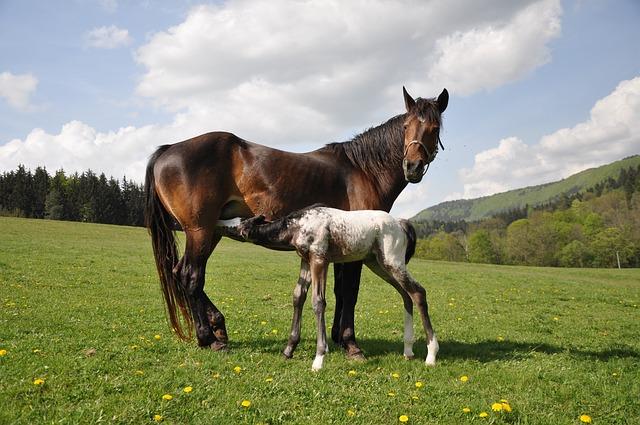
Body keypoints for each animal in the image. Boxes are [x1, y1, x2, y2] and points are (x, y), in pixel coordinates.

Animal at [222, 204, 438, 370]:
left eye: (237, 224)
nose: (219, 223)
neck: (298, 225)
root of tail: (401, 223)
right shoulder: (306, 261)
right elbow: (298, 297)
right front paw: (288, 350)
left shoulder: (319, 259)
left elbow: (318, 302)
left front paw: (318, 359)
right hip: (378, 264)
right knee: (406, 294)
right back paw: (408, 350)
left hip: (392, 262)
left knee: (418, 292)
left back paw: (431, 355)